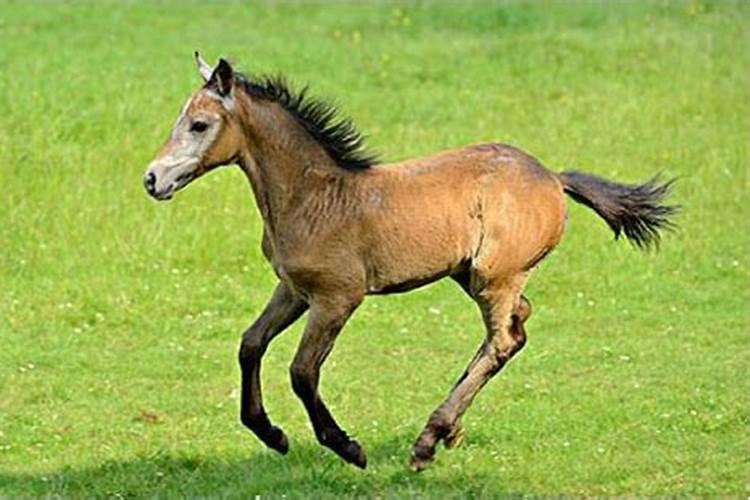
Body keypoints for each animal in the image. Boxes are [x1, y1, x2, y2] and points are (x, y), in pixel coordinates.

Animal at [144, 55, 680, 472]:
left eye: (199, 125)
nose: (152, 179)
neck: (315, 197)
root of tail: (552, 176)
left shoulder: (338, 297)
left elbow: (302, 371)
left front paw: (348, 447)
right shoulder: (295, 290)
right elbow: (250, 344)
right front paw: (271, 434)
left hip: (494, 276)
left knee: (503, 339)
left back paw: (427, 441)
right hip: (472, 276)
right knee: (517, 326)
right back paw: (447, 433)